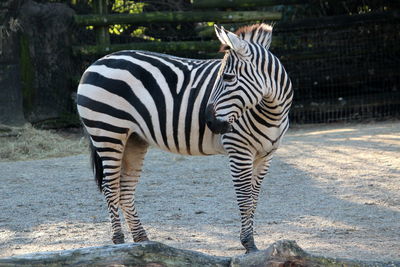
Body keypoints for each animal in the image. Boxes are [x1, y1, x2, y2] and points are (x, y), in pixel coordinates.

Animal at [76, 22, 292, 253]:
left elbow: (254, 198)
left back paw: (142, 240)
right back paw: (118, 241)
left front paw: (250, 239)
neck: (272, 111)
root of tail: (97, 62)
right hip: (109, 132)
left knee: (125, 189)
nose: (209, 122)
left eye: (228, 77)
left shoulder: (267, 155)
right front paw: (249, 243)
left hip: (134, 139)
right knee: (110, 187)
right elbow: (244, 198)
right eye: (222, 77)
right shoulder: (238, 150)